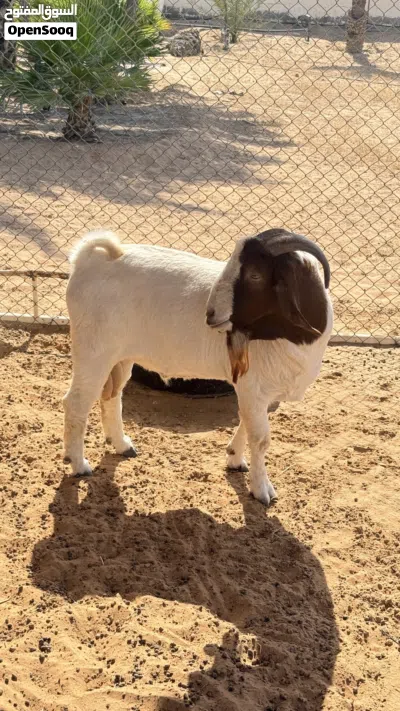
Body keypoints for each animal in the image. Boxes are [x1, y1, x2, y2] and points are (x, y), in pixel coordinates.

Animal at [63, 228, 333, 505]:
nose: (210, 314)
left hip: (120, 356)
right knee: (76, 403)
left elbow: (246, 423)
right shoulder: (252, 387)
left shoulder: (262, 393)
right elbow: (260, 439)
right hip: (93, 352)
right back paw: (79, 465)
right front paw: (262, 490)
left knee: (111, 396)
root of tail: (92, 259)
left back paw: (122, 445)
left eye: (255, 274)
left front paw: (235, 458)